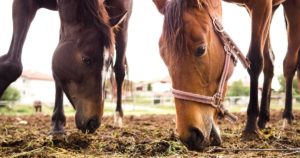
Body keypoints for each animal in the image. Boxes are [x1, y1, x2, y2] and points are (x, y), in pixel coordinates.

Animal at [0, 0, 132, 133]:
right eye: (86, 59)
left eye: (108, 63)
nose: (93, 123)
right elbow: (13, 65)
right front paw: (57, 123)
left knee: (120, 70)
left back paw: (118, 118)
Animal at [224, 0, 300, 137]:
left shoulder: (261, 4)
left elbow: (254, 60)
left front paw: (250, 125)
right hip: (272, 9)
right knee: (270, 60)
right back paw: (263, 118)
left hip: (292, 7)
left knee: (289, 64)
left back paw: (287, 117)